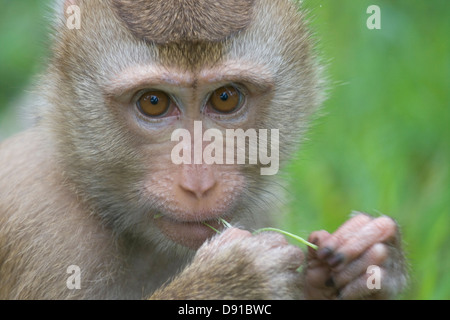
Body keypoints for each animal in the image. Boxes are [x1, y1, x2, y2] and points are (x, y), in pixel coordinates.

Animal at [0, 0, 408, 300]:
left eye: (226, 98)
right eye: (153, 102)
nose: (199, 185)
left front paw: (367, 259)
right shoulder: (45, 229)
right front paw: (236, 279)